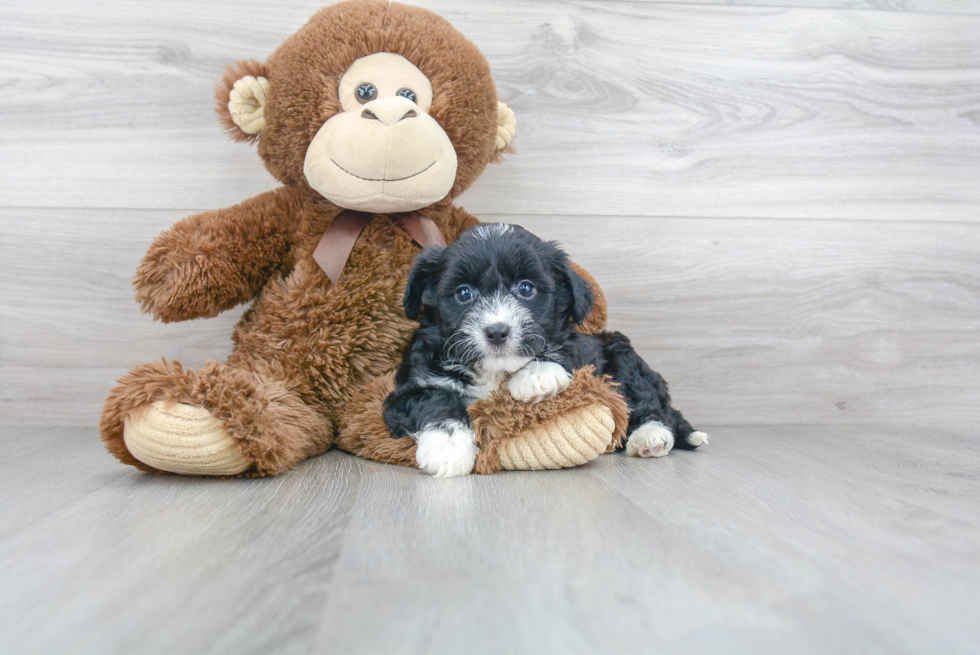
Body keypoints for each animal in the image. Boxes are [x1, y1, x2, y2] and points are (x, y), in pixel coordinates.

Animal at [378, 226, 708, 476]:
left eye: (526, 289)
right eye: (463, 293)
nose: (497, 331)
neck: (493, 370)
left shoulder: (580, 351)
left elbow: (558, 349)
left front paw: (537, 375)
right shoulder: (411, 387)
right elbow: (436, 400)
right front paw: (448, 449)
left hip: (621, 355)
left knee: (646, 402)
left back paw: (650, 436)